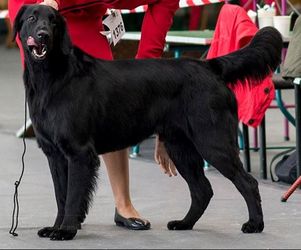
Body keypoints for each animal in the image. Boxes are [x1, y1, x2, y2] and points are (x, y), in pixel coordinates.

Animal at [13, 4, 282, 241]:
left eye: (54, 22)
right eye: (32, 18)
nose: (43, 35)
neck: (52, 77)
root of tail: (208, 66)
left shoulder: (79, 153)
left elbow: (72, 197)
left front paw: (66, 230)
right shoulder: (55, 154)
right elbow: (61, 196)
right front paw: (55, 227)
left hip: (213, 141)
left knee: (248, 183)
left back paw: (254, 224)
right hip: (180, 146)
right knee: (202, 189)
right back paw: (184, 223)